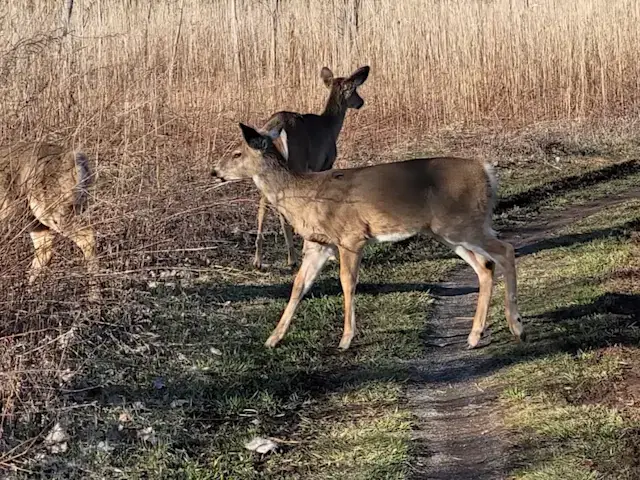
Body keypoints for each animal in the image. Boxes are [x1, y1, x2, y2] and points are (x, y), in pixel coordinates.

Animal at [0, 142, 99, 298]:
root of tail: (75, 157)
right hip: (35, 216)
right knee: (44, 247)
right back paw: (28, 292)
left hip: (51, 212)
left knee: (87, 237)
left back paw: (94, 295)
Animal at [213, 123, 525, 351]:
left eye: (237, 153)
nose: (215, 171)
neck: (304, 194)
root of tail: (486, 171)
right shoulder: (318, 244)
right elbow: (299, 286)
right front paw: (273, 338)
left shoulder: (350, 237)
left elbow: (347, 283)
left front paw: (345, 339)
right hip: (447, 233)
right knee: (485, 267)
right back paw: (474, 336)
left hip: (461, 224)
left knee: (505, 250)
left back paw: (516, 326)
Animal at [250, 65, 370, 269]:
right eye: (354, 90)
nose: (361, 102)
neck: (330, 126)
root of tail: (276, 127)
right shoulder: (325, 162)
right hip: (295, 159)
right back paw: (292, 258)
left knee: (262, 205)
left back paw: (258, 260)